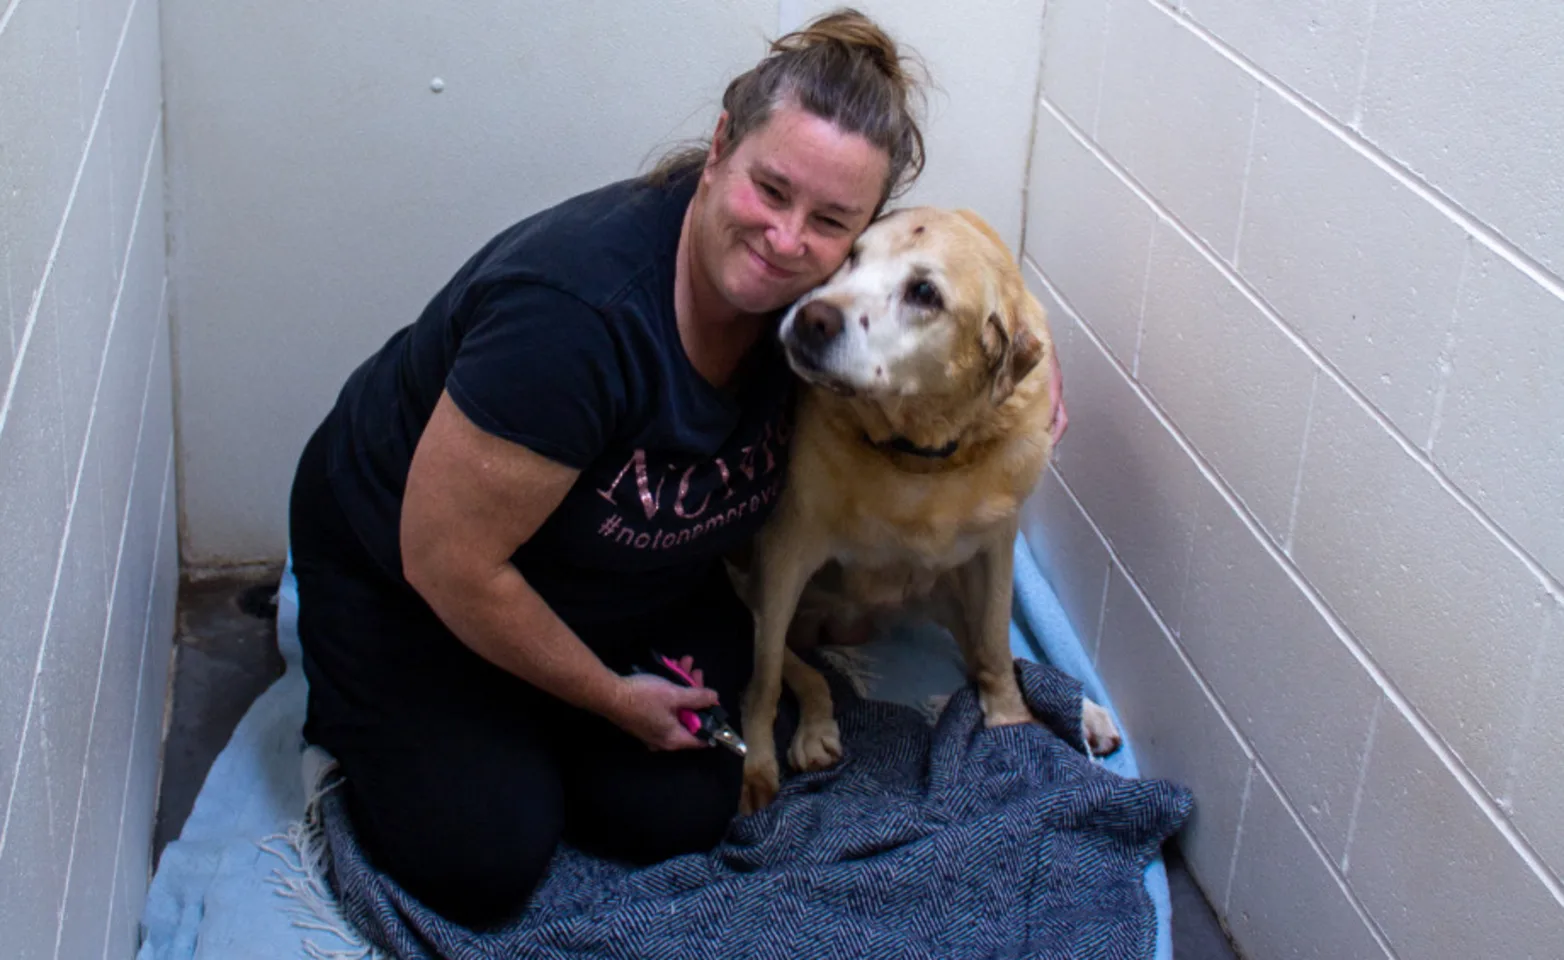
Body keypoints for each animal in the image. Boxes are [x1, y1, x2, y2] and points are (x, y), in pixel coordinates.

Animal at [735, 209, 1119, 813]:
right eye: (853, 255)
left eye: (924, 293)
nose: (811, 318)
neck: (921, 453)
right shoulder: (785, 551)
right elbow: (764, 677)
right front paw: (757, 765)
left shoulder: (995, 551)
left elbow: (996, 649)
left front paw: (1012, 727)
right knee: (796, 667)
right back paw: (814, 729)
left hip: (946, 585)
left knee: (991, 651)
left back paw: (1087, 712)